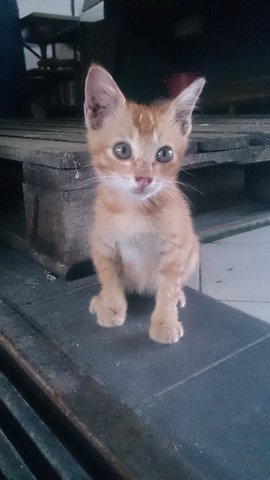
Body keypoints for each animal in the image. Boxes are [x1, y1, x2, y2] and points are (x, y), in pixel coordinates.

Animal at [84, 65, 205, 344]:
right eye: (122, 150)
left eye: (164, 154)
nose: (144, 178)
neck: (134, 210)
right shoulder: (101, 243)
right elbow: (109, 277)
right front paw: (111, 306)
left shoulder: (177, 249)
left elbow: (169, 286)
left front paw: (165, 322)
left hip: (193, 248)